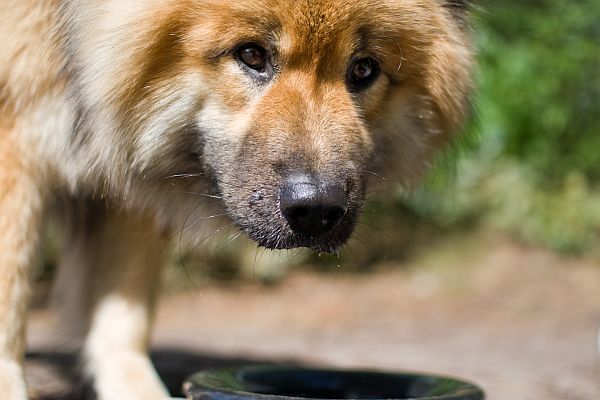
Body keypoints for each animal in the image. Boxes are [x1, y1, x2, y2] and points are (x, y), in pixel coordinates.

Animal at [0, 1, 474, 398]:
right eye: (251, 55)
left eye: (363, 69)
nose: (317, 209)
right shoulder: (17, 142)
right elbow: (11, 296)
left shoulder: (125, 163)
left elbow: (122, 315)